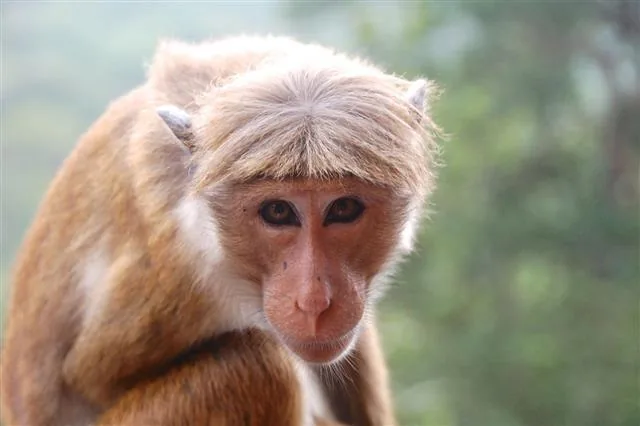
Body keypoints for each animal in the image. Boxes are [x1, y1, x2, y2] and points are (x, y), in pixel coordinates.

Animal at [0, 35, 440, 426]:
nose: (313, 301)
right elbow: (91, 377)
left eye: (344, 208)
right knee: (259, 367)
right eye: (278, 211)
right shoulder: (174, 279)